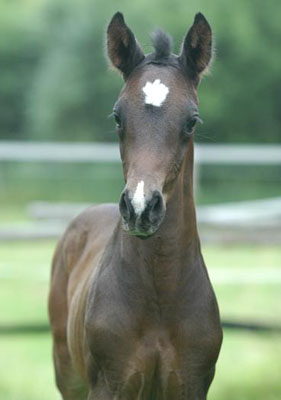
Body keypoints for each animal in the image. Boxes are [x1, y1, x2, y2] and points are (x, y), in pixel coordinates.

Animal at [49, 10, 222, 398]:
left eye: (192, 121)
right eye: (117, 116)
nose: (141, 208)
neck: (160, 301)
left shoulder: (191, 384)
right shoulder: (110, 385)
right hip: (68, 376)